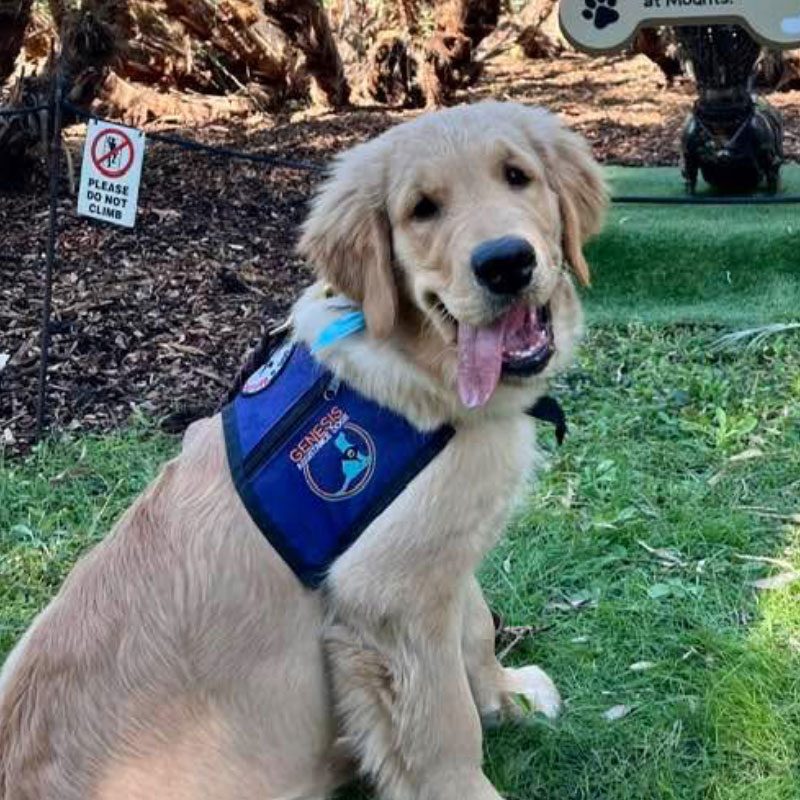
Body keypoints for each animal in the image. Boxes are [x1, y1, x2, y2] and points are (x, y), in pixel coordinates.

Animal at [0, 101, 604, 800]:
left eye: (517, 176)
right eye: (422, 209)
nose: (505, 262)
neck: (423, 371)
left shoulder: (437, 552)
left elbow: (475, 630)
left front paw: (509, 697)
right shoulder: (390, 597)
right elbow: (443, 723)